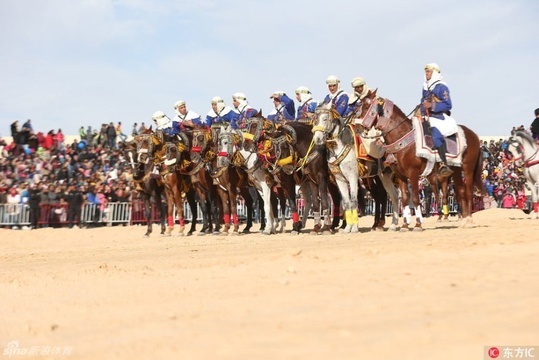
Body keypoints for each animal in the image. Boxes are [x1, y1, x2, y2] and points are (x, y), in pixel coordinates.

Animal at [310, 104, 360, 233]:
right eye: (315, 120)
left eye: (325, 119)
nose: (317, 138)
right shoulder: (339, 179)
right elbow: (346, 202)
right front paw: (348, 228)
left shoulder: (353, 177)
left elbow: (353, 201)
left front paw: (354, 228)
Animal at [358, 90, 486, 231]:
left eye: (366, 106)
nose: (357, 126)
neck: (404, 139)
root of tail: (474, 135)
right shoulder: (401, 176)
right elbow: (405, 198)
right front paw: (405, 225)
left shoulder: (413, 174)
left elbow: (415, 198)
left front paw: (418, 224)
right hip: (456, 170)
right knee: (460, 191)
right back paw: (463, 220)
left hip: (468, 169)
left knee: (468, 191)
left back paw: (469, 220)